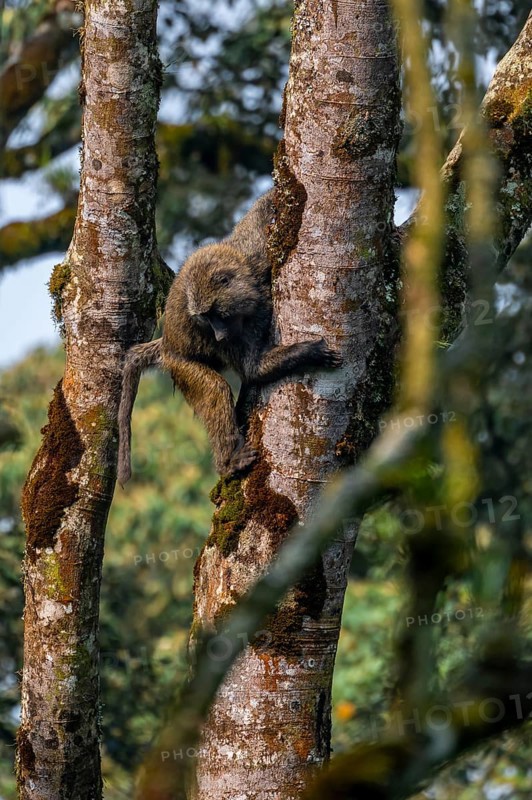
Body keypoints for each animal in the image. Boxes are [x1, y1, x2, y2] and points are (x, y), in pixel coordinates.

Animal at [117, 189, 341, 486]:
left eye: (215, 314)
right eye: (205, 318)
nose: (220, 336)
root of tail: (166, 344)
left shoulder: (254, 256)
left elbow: (256, 219)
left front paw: (272, 196)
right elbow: (252, 370)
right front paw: (311, 351)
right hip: (179, 362)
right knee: (215, 389)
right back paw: (228, 463)